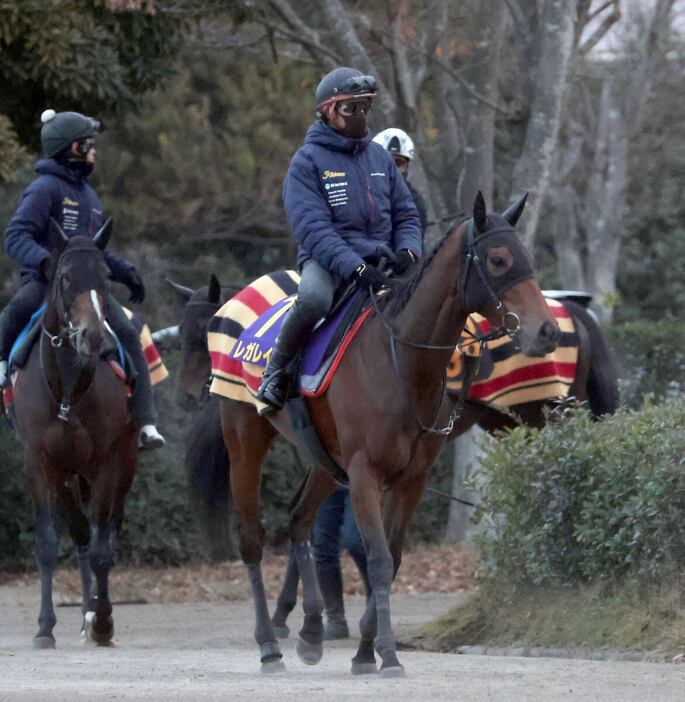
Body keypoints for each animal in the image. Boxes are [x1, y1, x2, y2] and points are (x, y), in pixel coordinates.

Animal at [12, 223, 138, 652]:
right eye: (65, 277)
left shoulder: (107, 465)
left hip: (123, 468)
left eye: (106, 276)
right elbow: (49, 544)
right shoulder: (39, 462)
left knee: (105, 534)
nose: (93, 337)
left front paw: (104, 622)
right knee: (82, 534)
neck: (68, 386)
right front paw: (44, 627)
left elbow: (103, 550)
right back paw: (84, 613)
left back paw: (96, 615)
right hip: (67, 477)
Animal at [216, 194, 560, 676]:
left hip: (325, 464)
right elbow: (377, 560)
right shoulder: (365, 473)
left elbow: (393, 561)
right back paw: (269, 646)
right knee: (251, 541)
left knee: (299, 519)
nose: (547, 331)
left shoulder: (411, 479)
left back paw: (312, 631)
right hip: (246, 447)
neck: (402, 362)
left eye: (525, 257)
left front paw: (366, 650)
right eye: (497, 260)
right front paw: (387, 654)